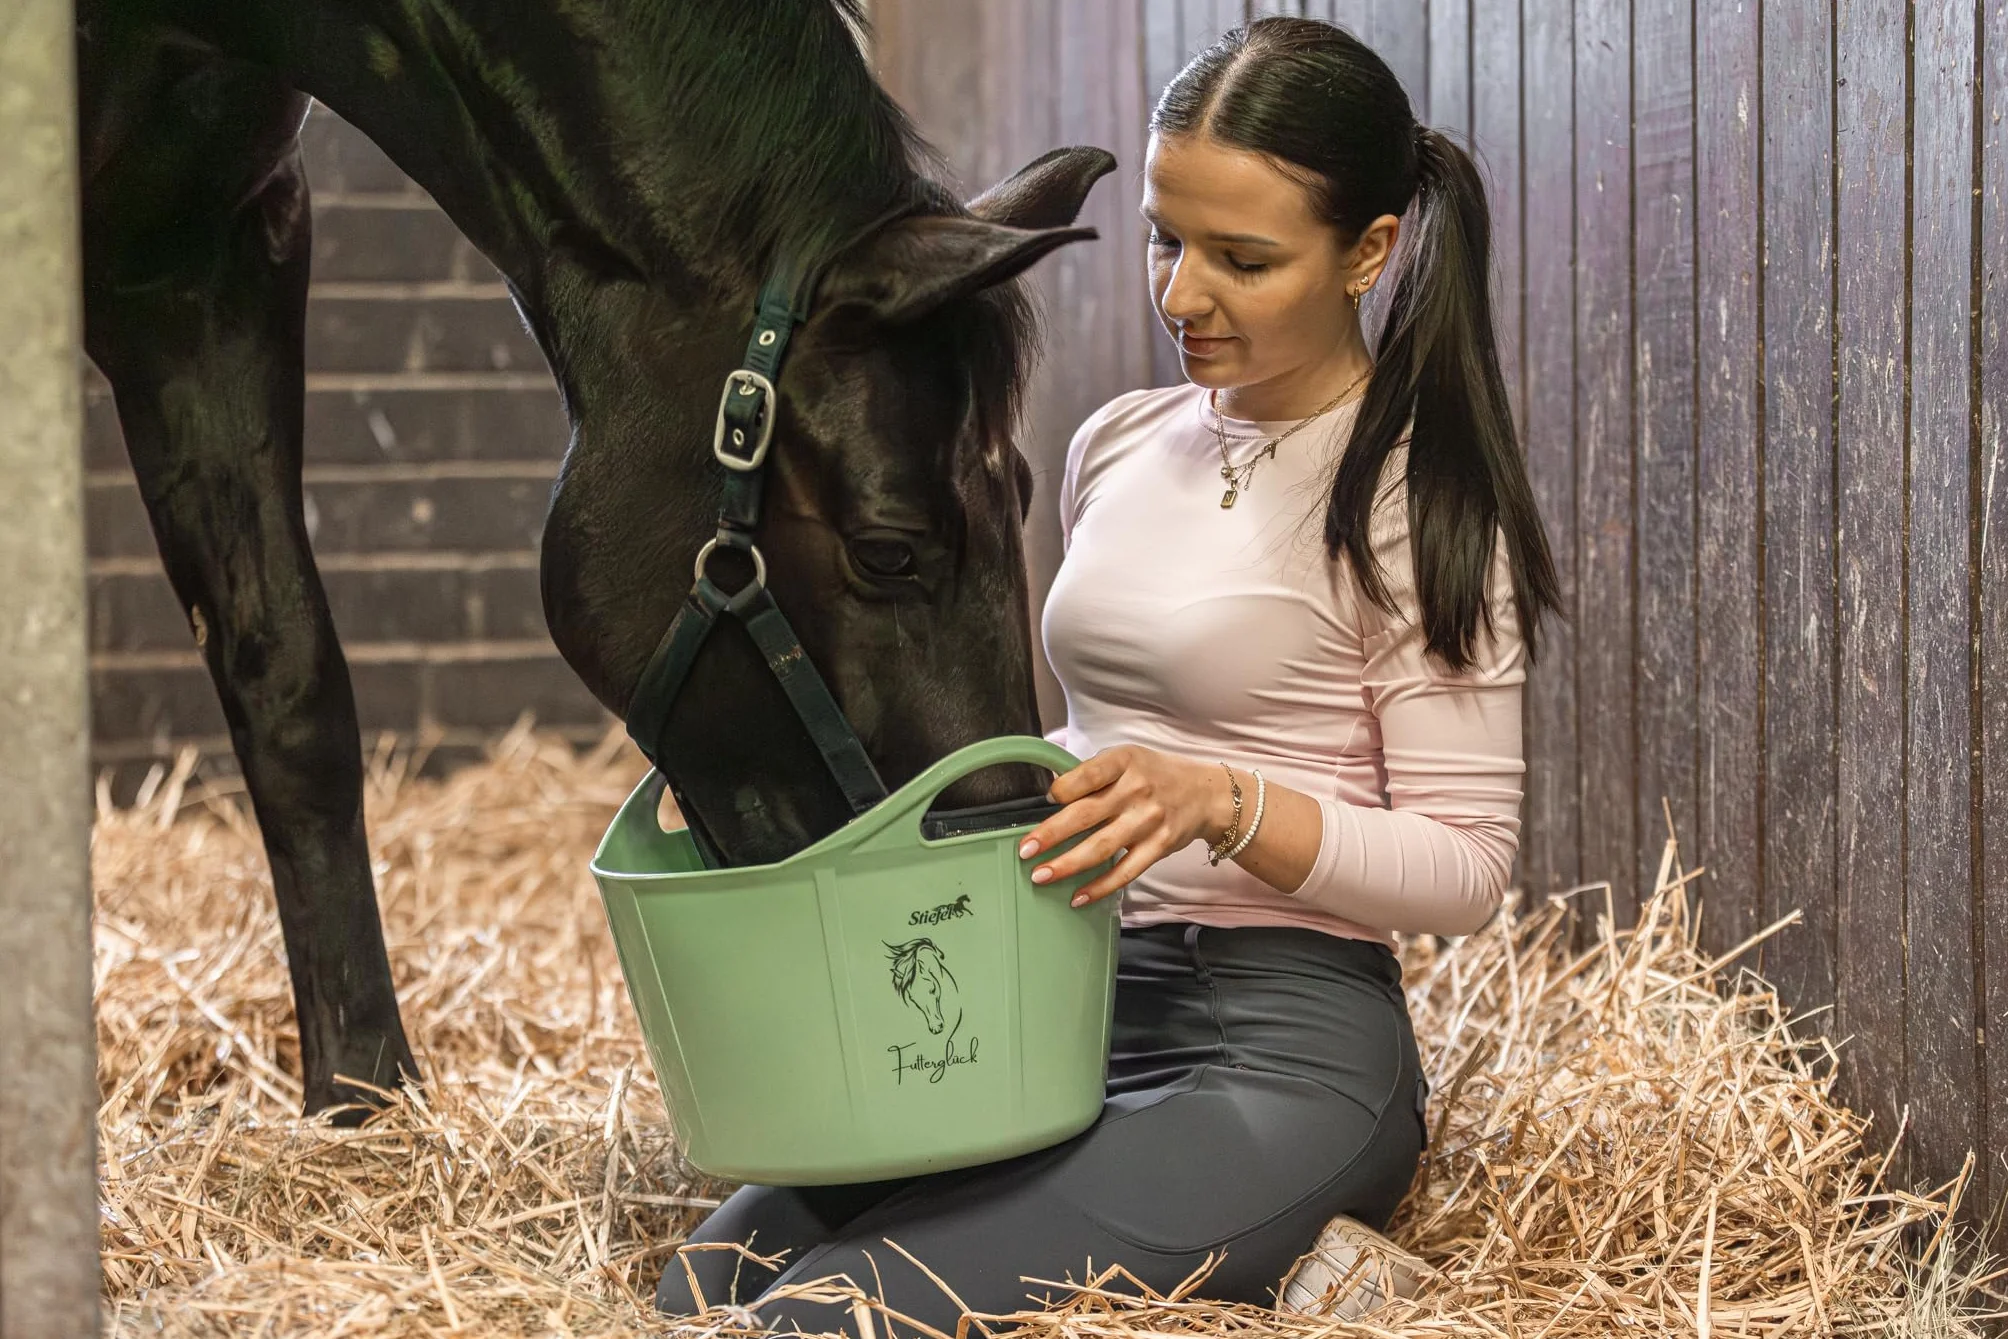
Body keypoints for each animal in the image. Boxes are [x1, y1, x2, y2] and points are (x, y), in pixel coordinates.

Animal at [77, 0, 1113, 1117]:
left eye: (1024, 496)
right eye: (888, 549)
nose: (1003, 841)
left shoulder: (205, 258)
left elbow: (290, 691)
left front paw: (363, 1091)